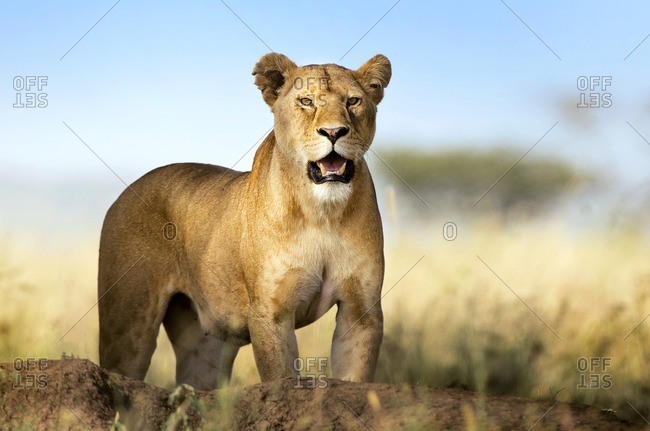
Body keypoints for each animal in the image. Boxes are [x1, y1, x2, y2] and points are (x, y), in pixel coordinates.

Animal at [98, 53, 392, 390]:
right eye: (306, 101)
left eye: (353, 101)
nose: (333, 132)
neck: (322, 213)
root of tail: (124, 193)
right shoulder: (270, 313)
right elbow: (281, 378)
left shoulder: (361, 311)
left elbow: (356, 378)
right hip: (128, 327)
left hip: (204, 342)